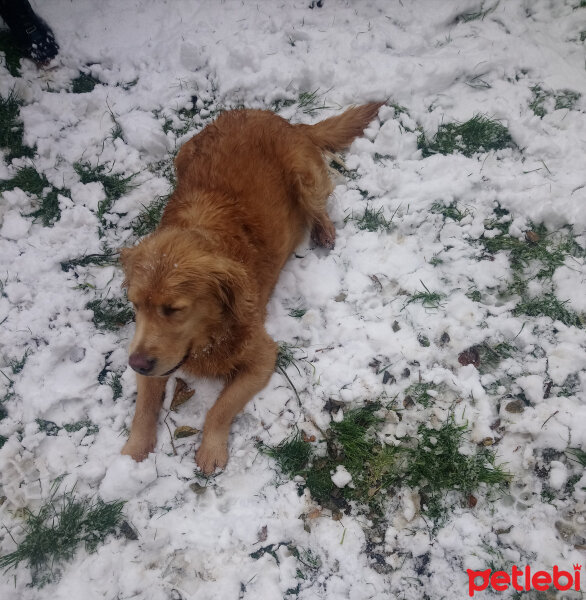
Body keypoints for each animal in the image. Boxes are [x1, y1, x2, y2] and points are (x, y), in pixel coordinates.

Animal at [119, 101, 384, 474]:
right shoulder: (149, 354)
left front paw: (211, 449)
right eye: (135, 306)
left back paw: (324, 230)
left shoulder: (262, 356)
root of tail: (283, 120)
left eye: (174, 309)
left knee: (319, 203)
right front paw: (132, 454)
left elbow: (219, 408)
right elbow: (143, 407)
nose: (136, 364)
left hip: (302, 173)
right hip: (183, 154)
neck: (210, 336)